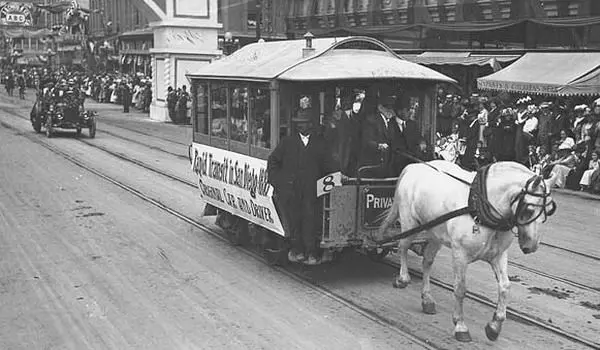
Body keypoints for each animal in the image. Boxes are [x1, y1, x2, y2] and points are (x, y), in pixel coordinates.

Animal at [378, 161, 556, 342]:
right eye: (529, 209)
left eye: (549, 211)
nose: (531, 246)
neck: (481, 207)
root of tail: (414, 166)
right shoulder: (460, 254)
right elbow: (460, 288)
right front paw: (460, 325)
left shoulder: (498, 255)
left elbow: (505, 286)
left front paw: (495, 325)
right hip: (409, 223)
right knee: (403, 247)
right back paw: (402, 278)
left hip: (435, 233)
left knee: (427, 261)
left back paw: (427, 299)